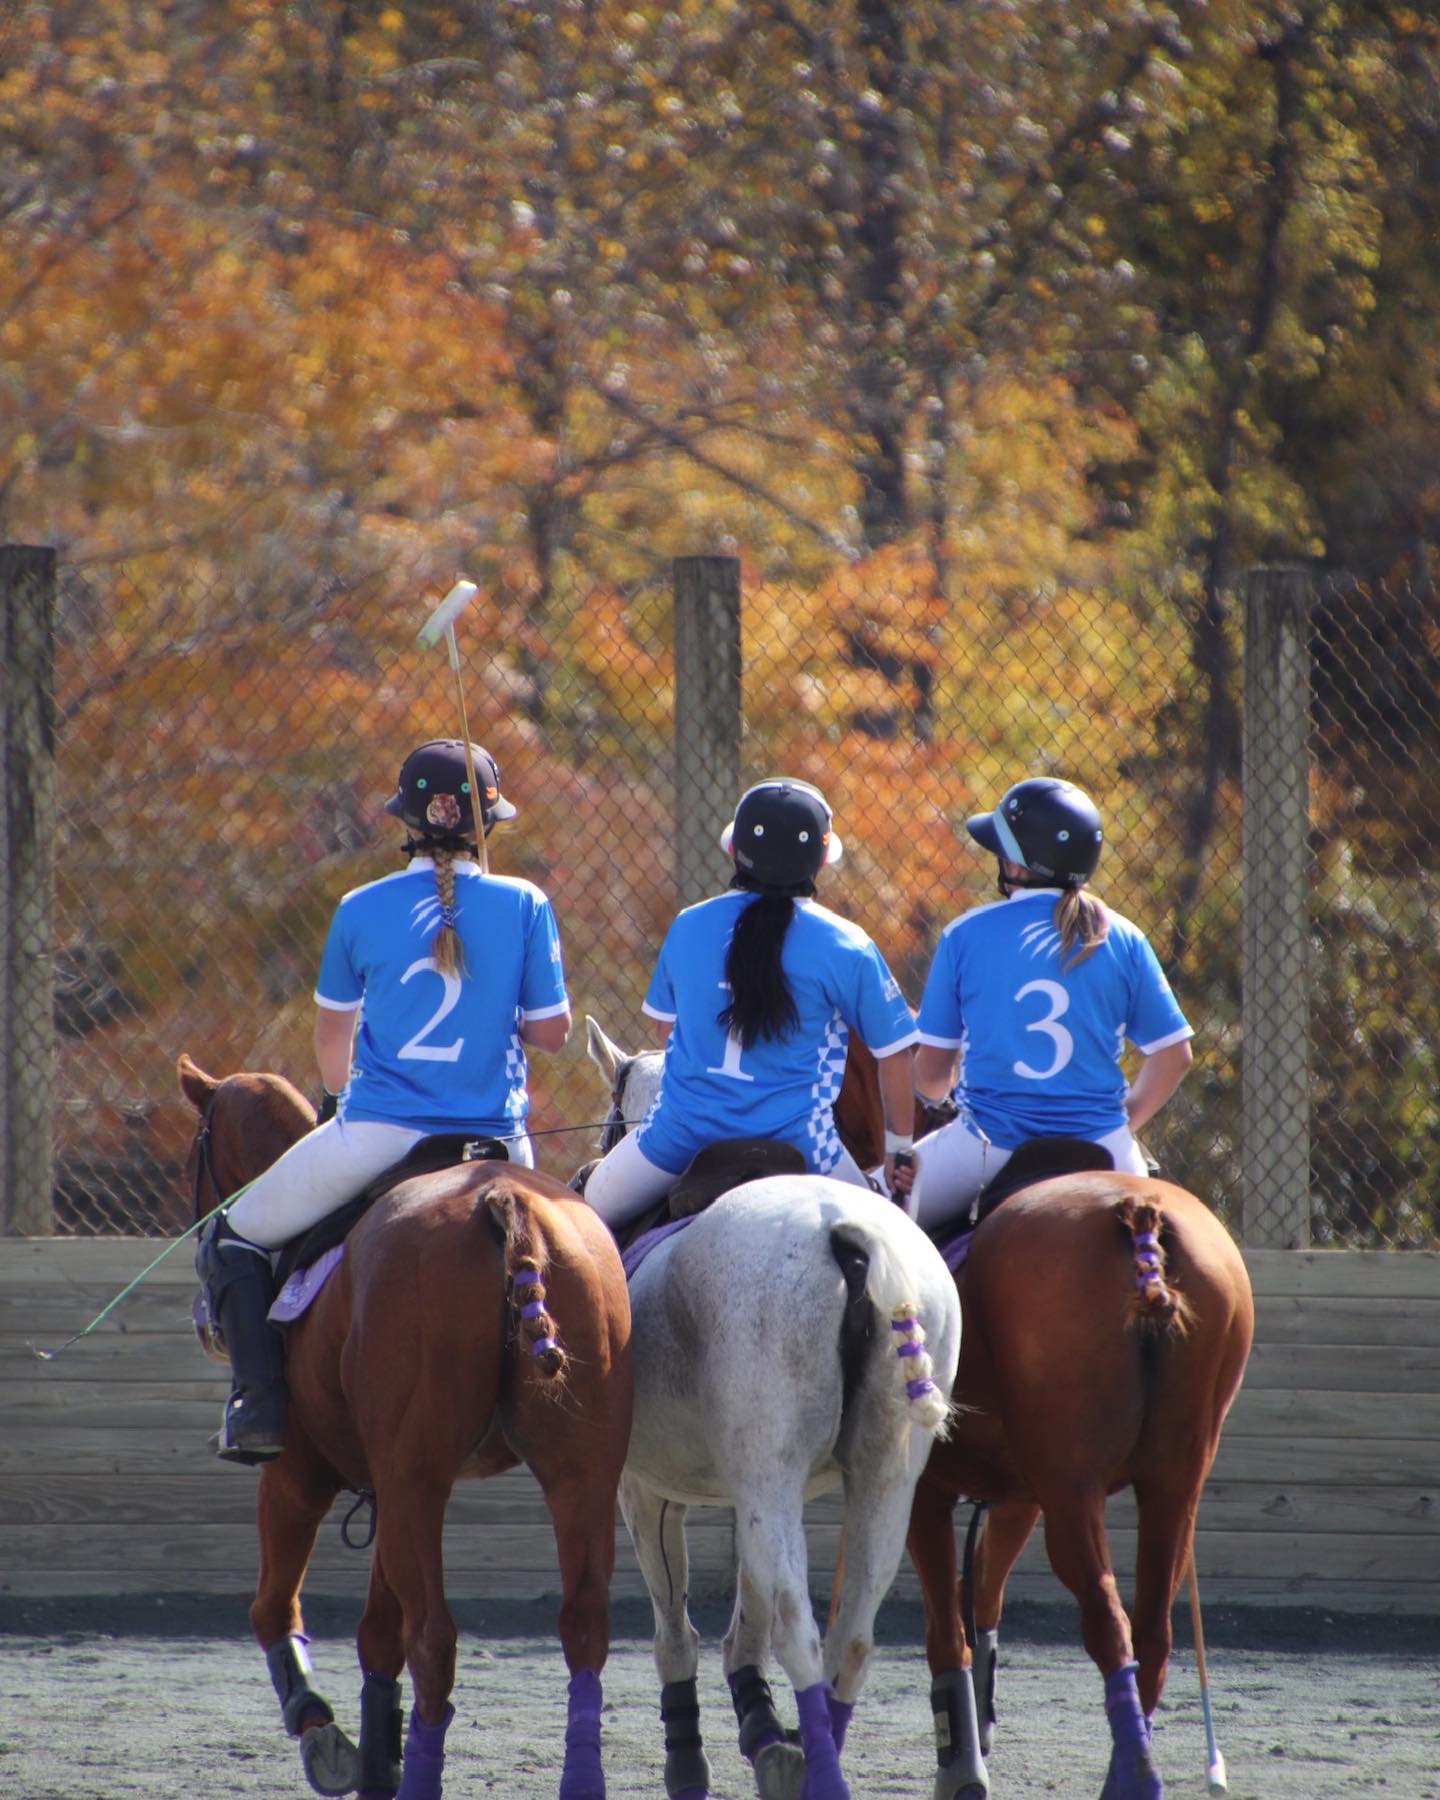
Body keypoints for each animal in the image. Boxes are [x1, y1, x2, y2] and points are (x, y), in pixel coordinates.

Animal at [178, 1051, 630, 1800]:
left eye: (195, 1155)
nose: (204, 1326)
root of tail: (504, 1204)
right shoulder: (384, 1490)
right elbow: (375, 1634)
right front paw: (374, 1758)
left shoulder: (298, 1476)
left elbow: (276, 1608)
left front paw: (323, 1730)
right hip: (580, 1472)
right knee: (583, 1623)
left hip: (419, 1478)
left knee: (434, 1637)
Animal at [579, 1022, 964, 1800]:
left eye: (609, 1122)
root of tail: (848, 1236)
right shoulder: (747, 1486)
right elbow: (743, 1617)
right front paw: (759, 1722)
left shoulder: (647, 1489)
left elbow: (679, 1630)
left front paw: (691, 1758)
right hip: (880, 1480)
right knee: (851, 1634)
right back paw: (810, 1756)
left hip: (771, 1476)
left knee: (798, 1627)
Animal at [831, 1044, 1245, 1800]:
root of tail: (1140, 1220)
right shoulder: (1017, 1491)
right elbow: (982, 1599)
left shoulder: (926, 1490)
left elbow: (948, 1628)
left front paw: (961, 1766)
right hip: (1173, 1480)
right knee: (1151, 1632)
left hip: (1073, 1487)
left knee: (1107, 1620)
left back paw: (1135, 1773)